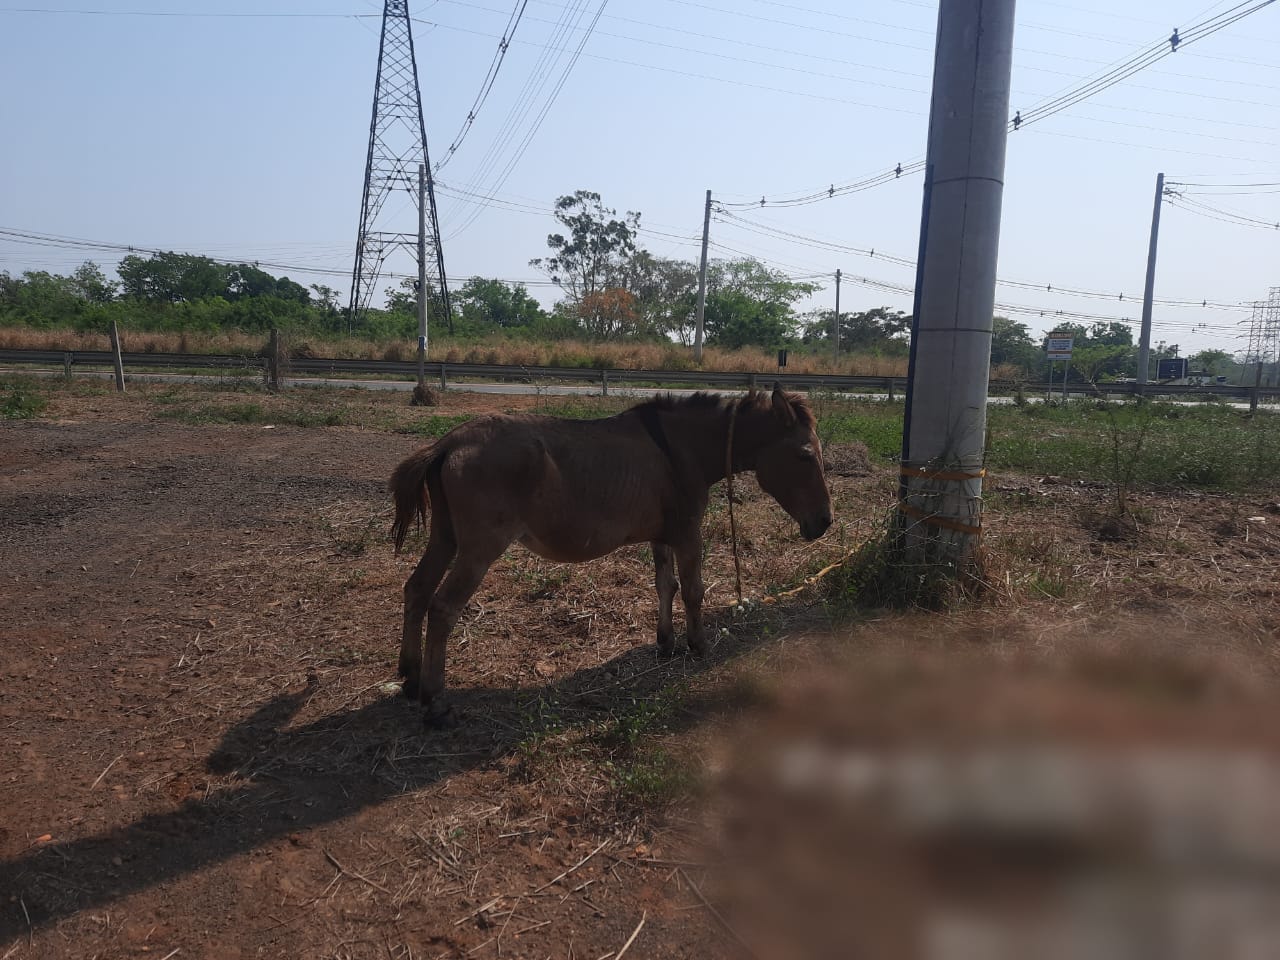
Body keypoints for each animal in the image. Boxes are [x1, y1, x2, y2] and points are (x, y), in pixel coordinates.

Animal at [386, 386, 829, 727]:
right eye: (806, 455)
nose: (825, 523)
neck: (682, 449)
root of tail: (451, 441)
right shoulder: (688, 533)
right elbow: (693, 590)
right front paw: (699, 645)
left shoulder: (663, 535)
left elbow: (666, 585)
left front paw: (666, 643)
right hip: (480, 548)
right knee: (443, 608)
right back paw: (435, 702)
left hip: (446, 538)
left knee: (417, 589)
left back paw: (409, 676)